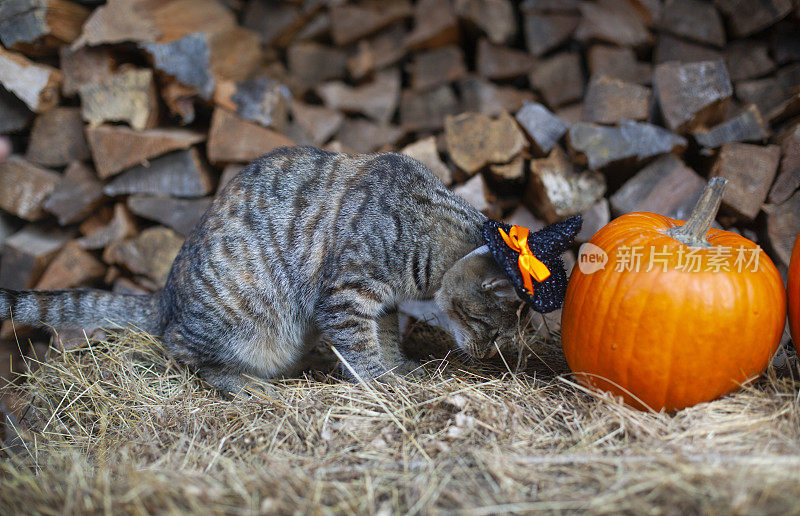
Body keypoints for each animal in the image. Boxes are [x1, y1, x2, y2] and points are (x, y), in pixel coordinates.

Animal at [1, 147, 552, 398]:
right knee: (182, 351)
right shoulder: (345, 294)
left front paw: (399, 368)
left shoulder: (379, 305)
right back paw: (243, 383)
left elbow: (385, 338)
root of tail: (164, 297)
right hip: (242, 321)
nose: (485, 353)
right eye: (490, 328)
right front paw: (384, 382)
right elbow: (361, 348)